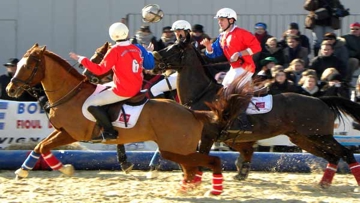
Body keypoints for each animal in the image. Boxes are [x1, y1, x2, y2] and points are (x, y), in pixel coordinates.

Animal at [5, 43, 224, 196]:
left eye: (28, 66)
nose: (10, 89)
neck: (70, 94)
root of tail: (190, 112)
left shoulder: (70, 134)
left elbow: (44, 147)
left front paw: (65, 169)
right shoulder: (61, 130)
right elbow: (39, 146)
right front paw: (23, 171)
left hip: (175, 149)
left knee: (198, 165)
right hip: (178, 150)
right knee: (190, 169)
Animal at [151, 38, 360, 189]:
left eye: (175, 48)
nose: (153, 59)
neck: (203, 94)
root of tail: (321, 100)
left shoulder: (208, 135)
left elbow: (200, 157)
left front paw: (194, 180)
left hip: (319, 136)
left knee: (346, 153)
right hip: (303, 139)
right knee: (333, 157)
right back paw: (324, 183)